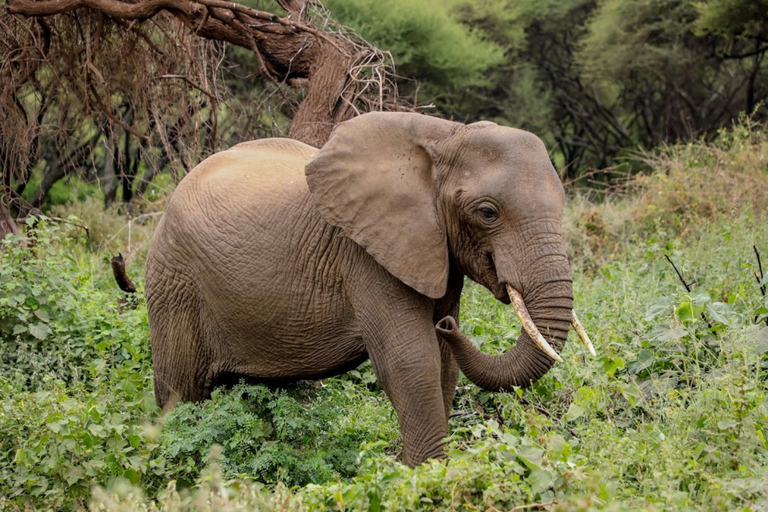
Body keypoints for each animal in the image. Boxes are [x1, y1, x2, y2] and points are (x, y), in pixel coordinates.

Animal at [145, 112, 593, 467]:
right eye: (487, 213)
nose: (449, 324)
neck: (444, 137)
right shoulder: (364, 253)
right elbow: (411, 358)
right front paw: (425, 477)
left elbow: (444, 364)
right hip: (174, 280)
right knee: (180, 392)